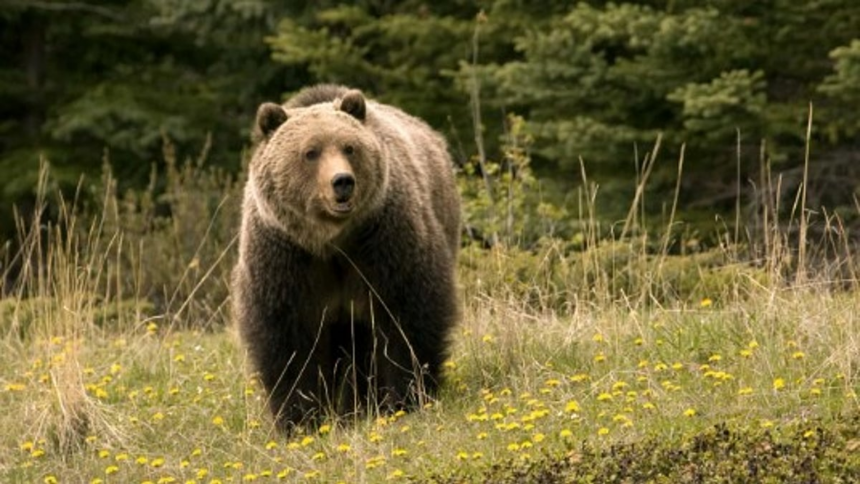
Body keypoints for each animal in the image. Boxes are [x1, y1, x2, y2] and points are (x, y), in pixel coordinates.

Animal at [232, 84, 460, 430]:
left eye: (349, 147)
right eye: (310, 152)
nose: (342, 181)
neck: (331, 241)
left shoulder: (382, 243)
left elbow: (406, 317)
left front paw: (404, 399)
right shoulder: (286, 258)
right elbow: (288, 340)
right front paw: (300, 418)